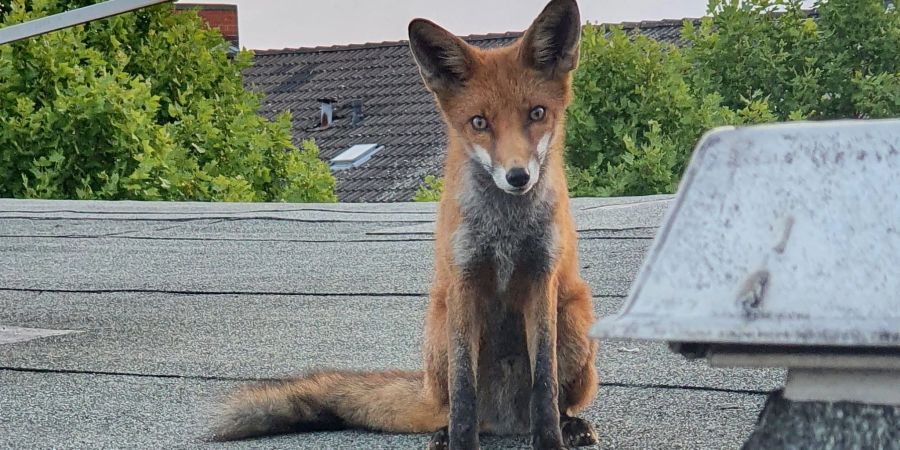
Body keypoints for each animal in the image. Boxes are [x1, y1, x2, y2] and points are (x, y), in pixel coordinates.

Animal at [213, 0, 596, 448]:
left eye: (537, 113)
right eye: (479, 122)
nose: (517, 177)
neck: (506, 230)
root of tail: (503, 421)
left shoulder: (541, 278)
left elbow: (544, 387)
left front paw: (550, 439)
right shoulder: (463, 281)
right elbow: (464, 391)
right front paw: (460, 441)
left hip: (574, 317)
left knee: (556, 399)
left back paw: (571, 425)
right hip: (438, 329)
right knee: (453, 405)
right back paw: (446, 431)